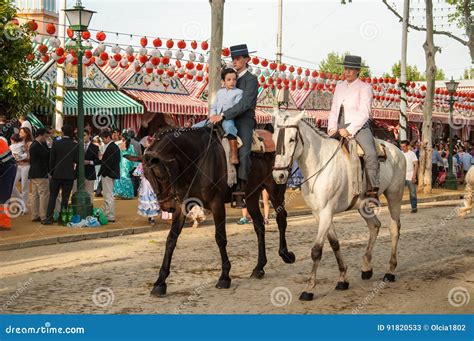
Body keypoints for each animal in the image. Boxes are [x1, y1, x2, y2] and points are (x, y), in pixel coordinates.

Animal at [143, 126, 294, 294]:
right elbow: (171, 240)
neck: (196, 159)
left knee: (281, 218)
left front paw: (224, 277)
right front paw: (160, 281)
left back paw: (285, 254)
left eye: (160, 176)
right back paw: (259, 267)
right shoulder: (181, 205)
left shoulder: (217, 203)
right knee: (259, 226)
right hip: (252, 195)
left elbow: (220, 238)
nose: (166, 207)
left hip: (275, 187)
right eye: (146, 177)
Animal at [272, 110, 406, 298]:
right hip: (363, 205)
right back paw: (366, 267)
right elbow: (334, 244)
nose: (279, 176)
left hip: (394, 195)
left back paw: (390, 271)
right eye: (274, 137)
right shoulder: (319, 214)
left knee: (394, 228)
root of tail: (397, 151)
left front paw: (309, 288)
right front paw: (343, 278)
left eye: (292, 139)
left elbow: (317, 250)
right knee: (375, 226)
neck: (319, 166)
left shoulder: (326, 212)